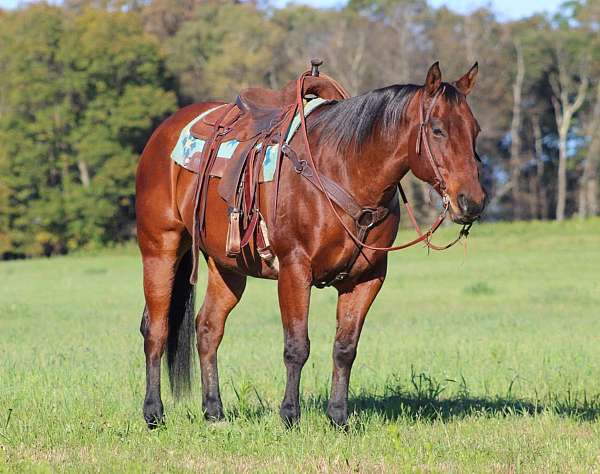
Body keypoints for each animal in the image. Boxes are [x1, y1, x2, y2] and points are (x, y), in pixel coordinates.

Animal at [135, 61, 482, 428]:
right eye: (437, 130)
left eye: (475, 130)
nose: (472, 202)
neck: (345, 169)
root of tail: (164, 132)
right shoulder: (294, 269)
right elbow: (297, 346)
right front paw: (290, 415)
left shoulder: (367, 278)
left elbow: (345, 348)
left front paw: (338, 417)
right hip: (160, 248)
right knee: (156, 329)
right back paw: (154, 412)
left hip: (227, 267)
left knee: (208, 328)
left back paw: (214, 411)